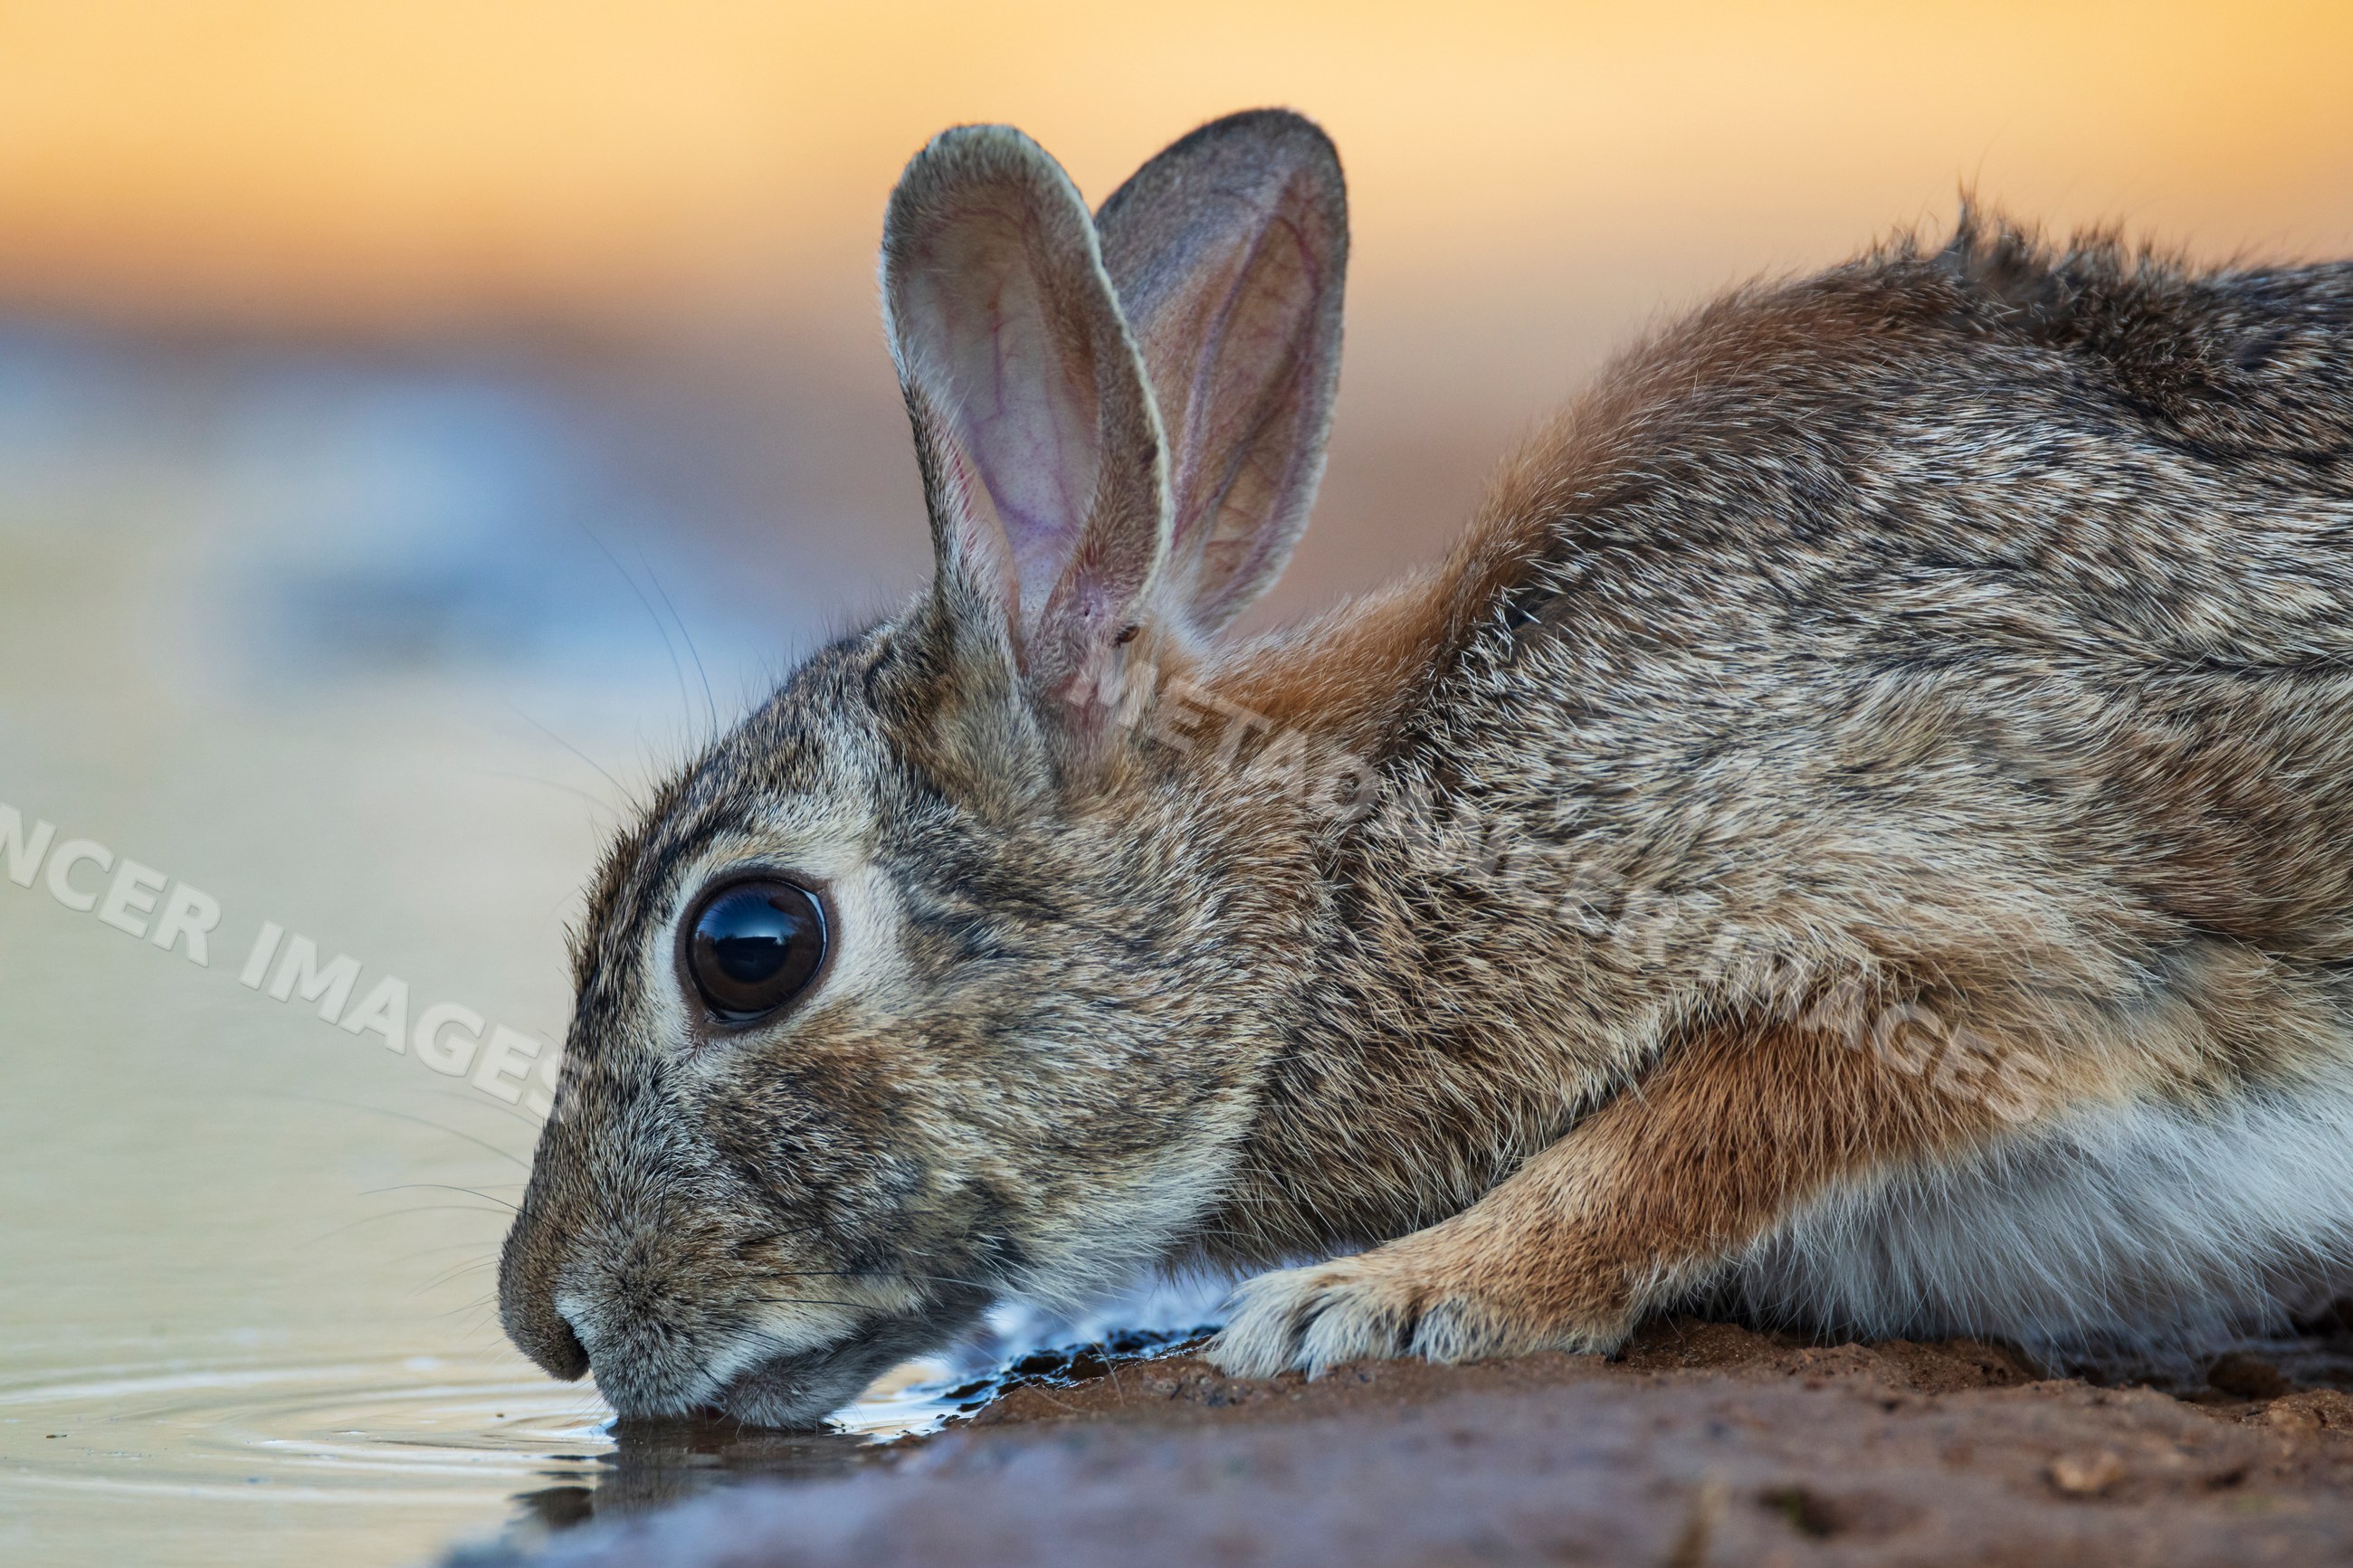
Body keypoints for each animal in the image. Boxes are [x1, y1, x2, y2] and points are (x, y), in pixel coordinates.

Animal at [499, 105, 2353, 1429]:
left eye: (750, 946)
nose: (543, 1325)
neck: (1325, 891)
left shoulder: (1974, 923)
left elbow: (1695, 1125)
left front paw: (1378, 1302)